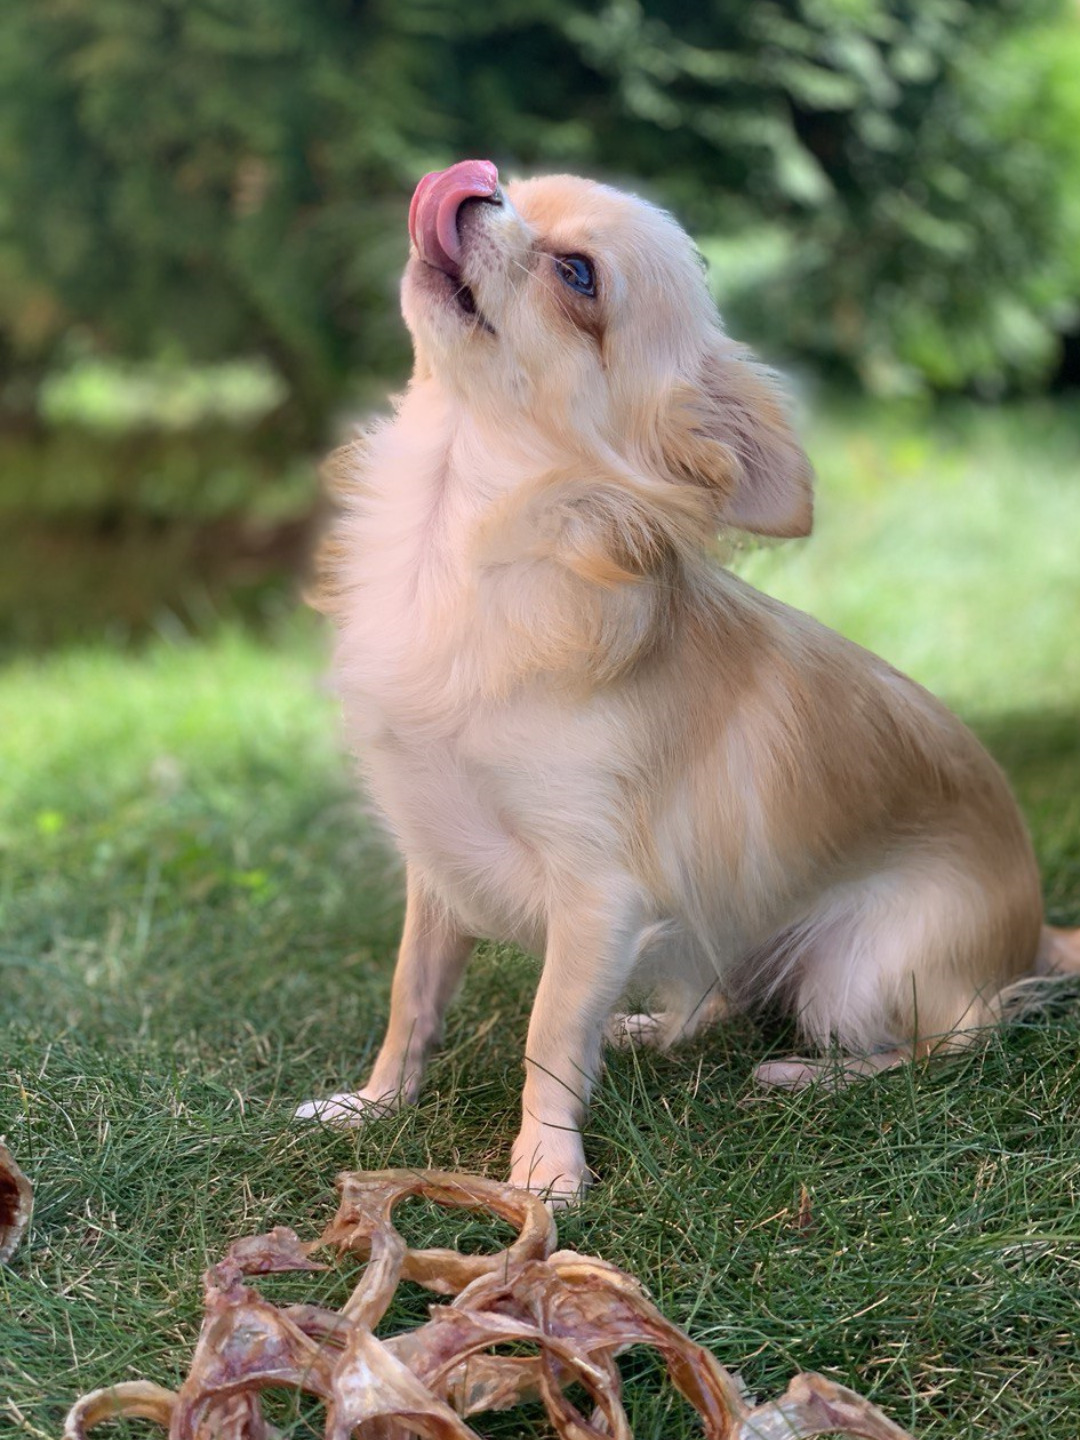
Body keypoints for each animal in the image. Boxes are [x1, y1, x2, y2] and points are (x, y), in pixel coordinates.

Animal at [297, 160, 1080, 1201]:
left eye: (579, 277)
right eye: (515, 188)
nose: (473, 188)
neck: (451, 530)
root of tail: (1036, 932)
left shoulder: (598, 893)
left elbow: (550, 1031)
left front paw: (543, 1168)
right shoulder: (440, 865)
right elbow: (411, 996)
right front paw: (377, 1105)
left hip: (861, 971)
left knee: (957, 1035)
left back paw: (812, 1076)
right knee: (721, 988)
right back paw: (649, 1029)